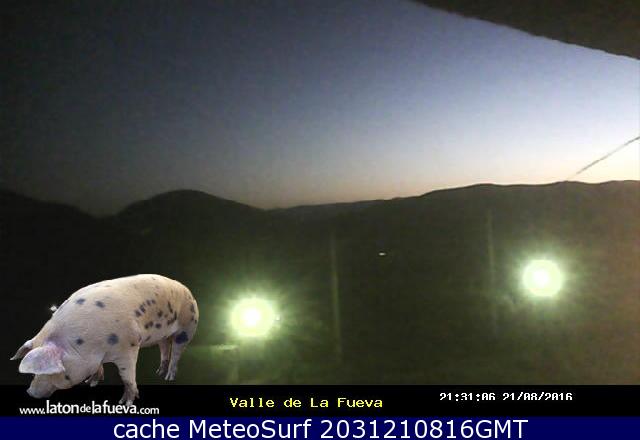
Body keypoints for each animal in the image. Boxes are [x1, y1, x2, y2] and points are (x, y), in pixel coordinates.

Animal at [10, 274, 199, 405]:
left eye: (47, 372)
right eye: (33, 373)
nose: (30, 392)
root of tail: (187, 289)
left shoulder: (129, 346)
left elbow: (127, 376)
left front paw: (125, 403)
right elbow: (97, 367)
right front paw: (91, 383)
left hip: (188, 326)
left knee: (177, 351)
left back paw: (169, 377)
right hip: (162, 335)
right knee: (165, 346)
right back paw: (159, 372)